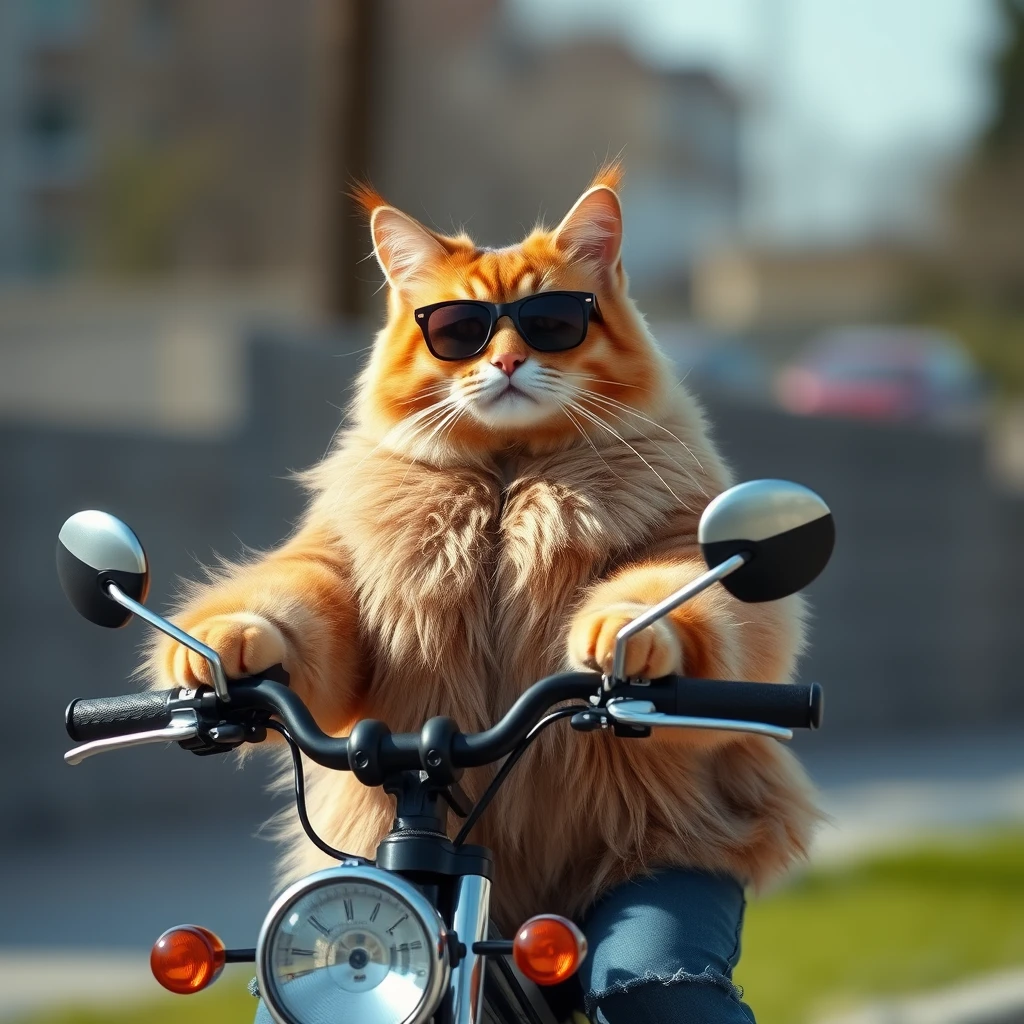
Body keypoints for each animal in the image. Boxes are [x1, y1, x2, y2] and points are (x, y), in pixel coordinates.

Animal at [148, 163, 819, 933]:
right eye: (459, 330)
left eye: (551, 323)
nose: (506, 360)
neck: (504, 478)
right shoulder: (336, 567)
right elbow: (293, 610)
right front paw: (224, 641)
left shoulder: (684, 544)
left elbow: (676, 604)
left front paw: (626, 634)